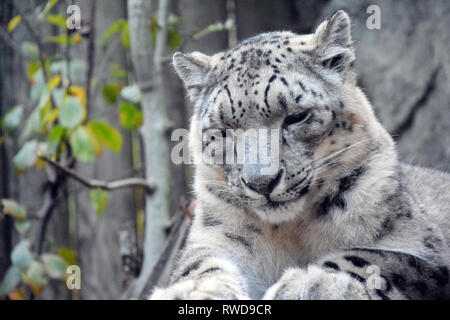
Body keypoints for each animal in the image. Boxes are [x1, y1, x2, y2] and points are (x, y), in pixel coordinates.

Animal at [151, 10, 450, 300]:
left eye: (296, 117)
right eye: (223, 130)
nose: (262, 183)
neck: (290, 231)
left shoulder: (425, 249)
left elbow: (370, 257)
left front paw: (309, 283)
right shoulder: (216, 235)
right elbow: (200, 265)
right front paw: (193, 291)